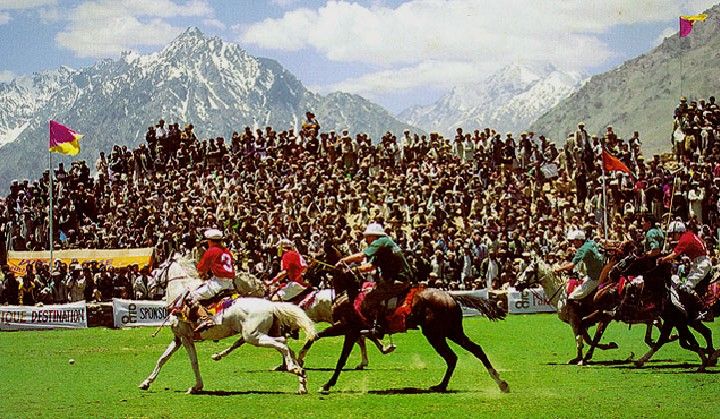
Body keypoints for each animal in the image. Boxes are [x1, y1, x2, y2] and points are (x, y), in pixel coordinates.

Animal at [139, 254, 316, 396]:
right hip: (268, 333)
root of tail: (271, 305)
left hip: (254, 336)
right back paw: (301, 382)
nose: (150, 286)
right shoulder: (178, 338)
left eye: (158, 268)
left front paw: (197, 387)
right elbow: (162, 359)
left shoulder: (185, 338)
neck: (180, 295)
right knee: (287, 346)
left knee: (282, 344)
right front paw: (146, 382)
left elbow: (193, 363)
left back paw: (294, 369)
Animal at [300, 268, 512, 396]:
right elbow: (327, 344)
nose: (304, 275)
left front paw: (325, 382)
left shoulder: (347, 328)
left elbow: (337, 354)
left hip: (436, 334)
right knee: (471, 351)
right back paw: (497, 383)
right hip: (450, 331)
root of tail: (450, 296)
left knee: (454, 356)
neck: (351, 293)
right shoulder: (350, 329)